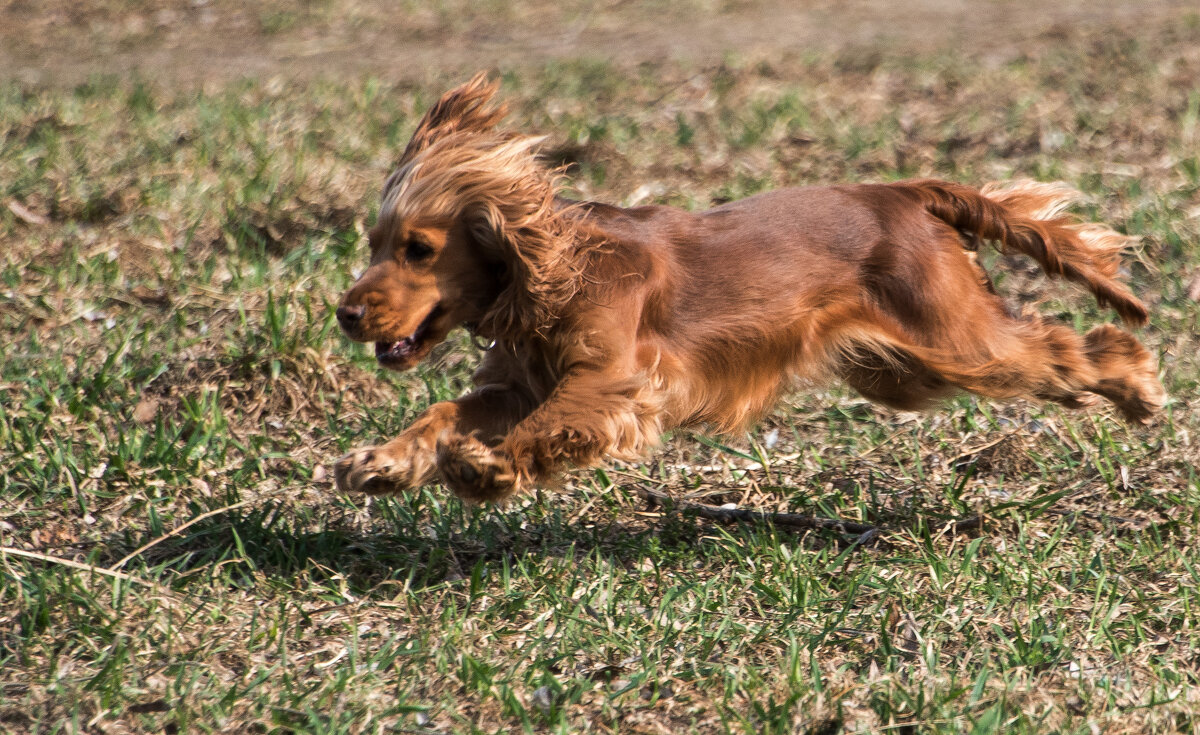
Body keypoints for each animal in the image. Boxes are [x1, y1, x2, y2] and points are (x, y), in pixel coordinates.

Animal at [331, 74, 1161, 502]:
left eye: (418, 248)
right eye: (371, 244)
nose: (345, 313)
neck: (546, 267)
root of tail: (904, 191)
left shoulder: (612, 381)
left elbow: (550, 424)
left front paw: (487, 468)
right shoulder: (517, 383)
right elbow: (446, 409)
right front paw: (383, 461)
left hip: (957, 341)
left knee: (1071, 347)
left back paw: (1138, 388)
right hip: (903, 370)